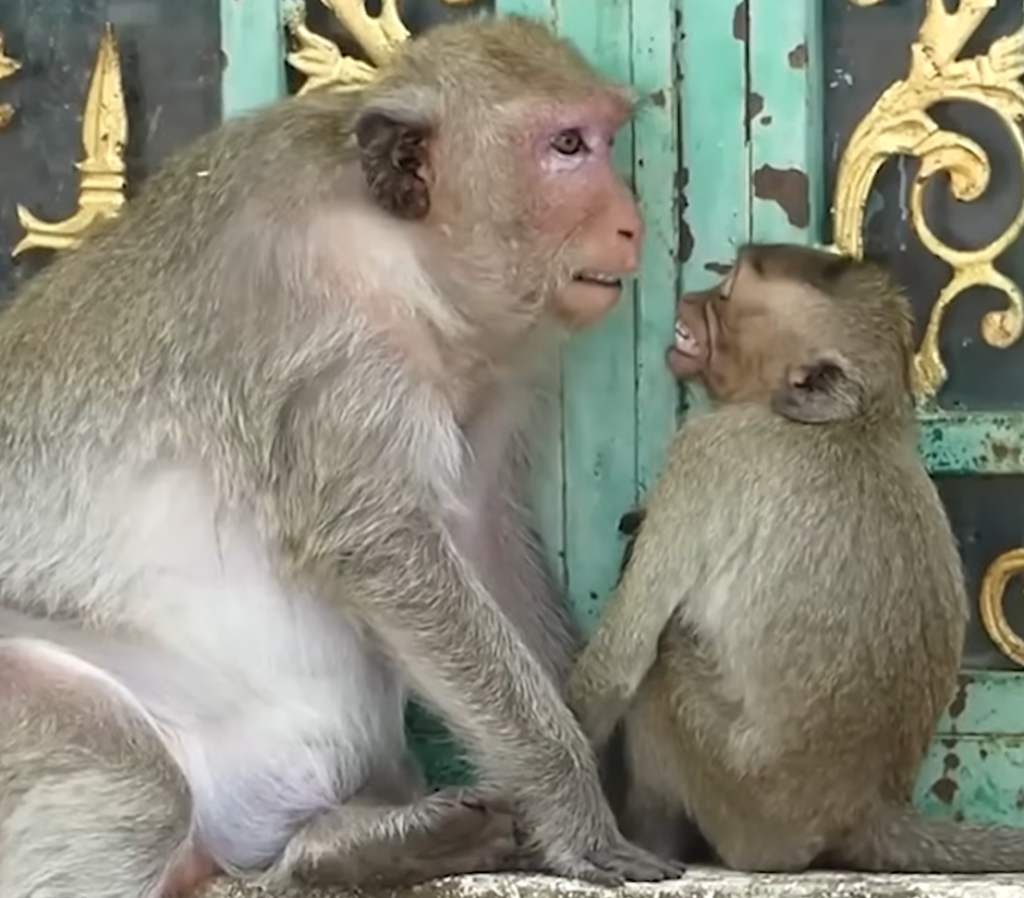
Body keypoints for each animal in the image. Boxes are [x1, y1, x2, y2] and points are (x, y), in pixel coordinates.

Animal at [0, 15, 686, 898]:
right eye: (567, 145)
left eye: (601, 139)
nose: (630, 222)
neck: (402, 250)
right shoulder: (323, 332)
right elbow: (382, 544)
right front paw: (574, 805)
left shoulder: (492, 371)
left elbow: (480, 537)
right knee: (138, 785)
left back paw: (353, 848)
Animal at [567, 243, 1024, 874]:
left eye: (727, 294)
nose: (692, 297)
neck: (856, 422)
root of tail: (864, 807)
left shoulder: (706, 451)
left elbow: (622, 661)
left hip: (741, 798)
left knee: (663, 661)